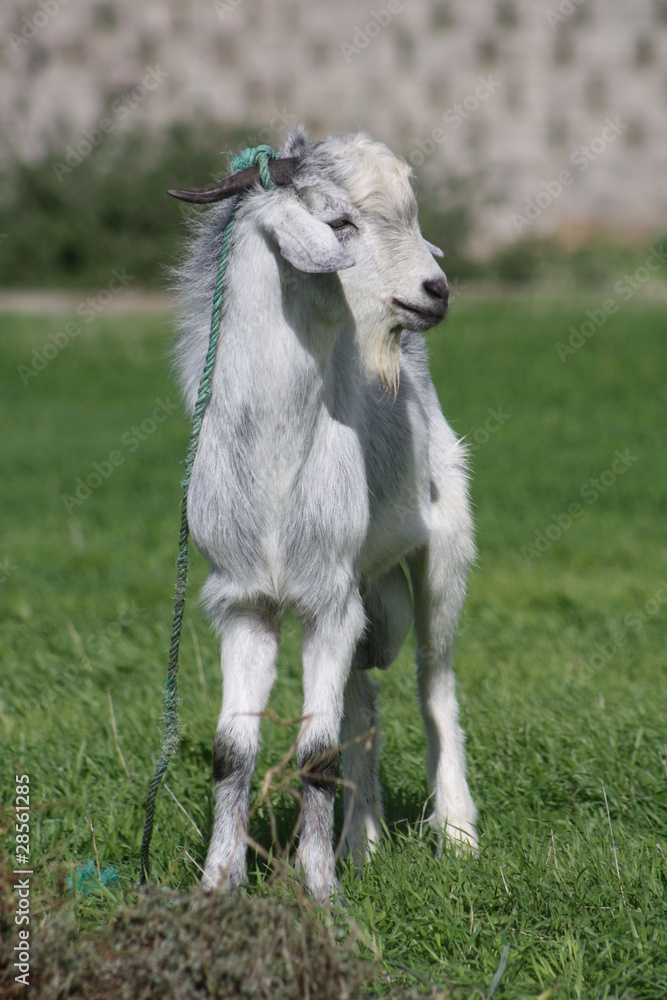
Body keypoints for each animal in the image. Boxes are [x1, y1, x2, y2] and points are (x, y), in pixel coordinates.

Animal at [171, 129, 478, 901]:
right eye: (340, 223)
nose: (436, 291)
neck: (279, 461)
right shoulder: (245, 600)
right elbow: (234, 748)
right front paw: (219, 885)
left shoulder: (327, 600)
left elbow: (313, 750)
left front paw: (318, 894)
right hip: (365, 589)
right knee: (363, 706)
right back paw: (361, 842)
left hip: (443, 556)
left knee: (434, 684)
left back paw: (458, 836)